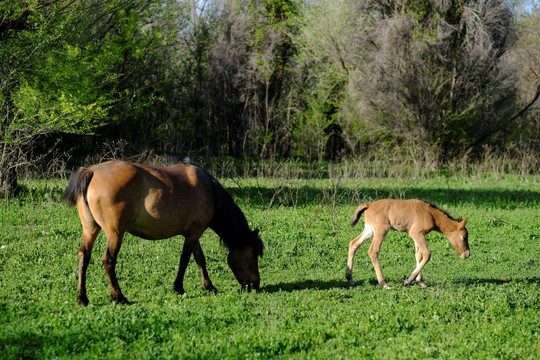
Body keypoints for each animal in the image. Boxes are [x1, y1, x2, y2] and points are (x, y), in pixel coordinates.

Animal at [64, 159, 262, 306]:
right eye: (253, 255)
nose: (255, 285)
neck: (209, 189)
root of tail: (92, 171)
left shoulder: (193, 233)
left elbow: (200, 258)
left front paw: (209, 286)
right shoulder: (194, 233)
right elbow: (185, 260)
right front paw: (179, 288)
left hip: (90, 229)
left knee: (84, 257)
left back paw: (82, 298)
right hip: (115, 233)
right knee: (108, 260)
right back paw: (119, 297)